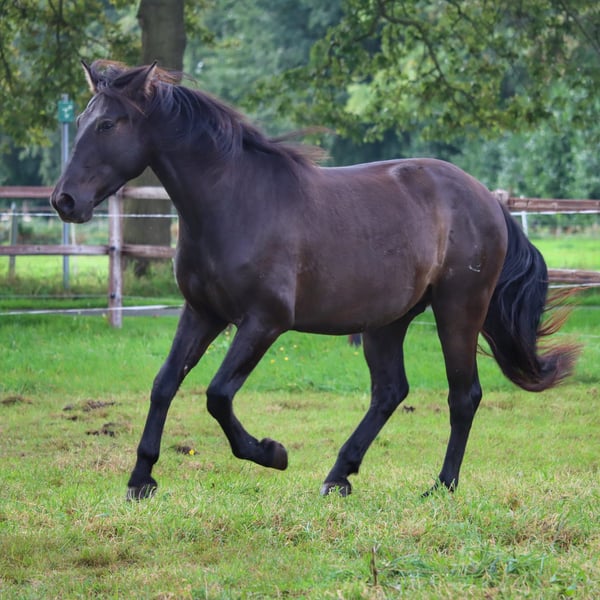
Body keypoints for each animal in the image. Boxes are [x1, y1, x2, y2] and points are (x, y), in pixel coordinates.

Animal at [51, 61, 579, 500]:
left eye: (108, 124)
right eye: (80, 122)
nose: (64, 200)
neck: (234, 202)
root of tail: (486, 198)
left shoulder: (264, 321)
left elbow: (218, 395)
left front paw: (272, 453)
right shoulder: (202, 313)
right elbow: (164, 384)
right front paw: (141, 480)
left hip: (459, 310)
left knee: (462, 396)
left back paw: (441, 486)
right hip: (387, 321)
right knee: (390, 392)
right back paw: (338, 476)